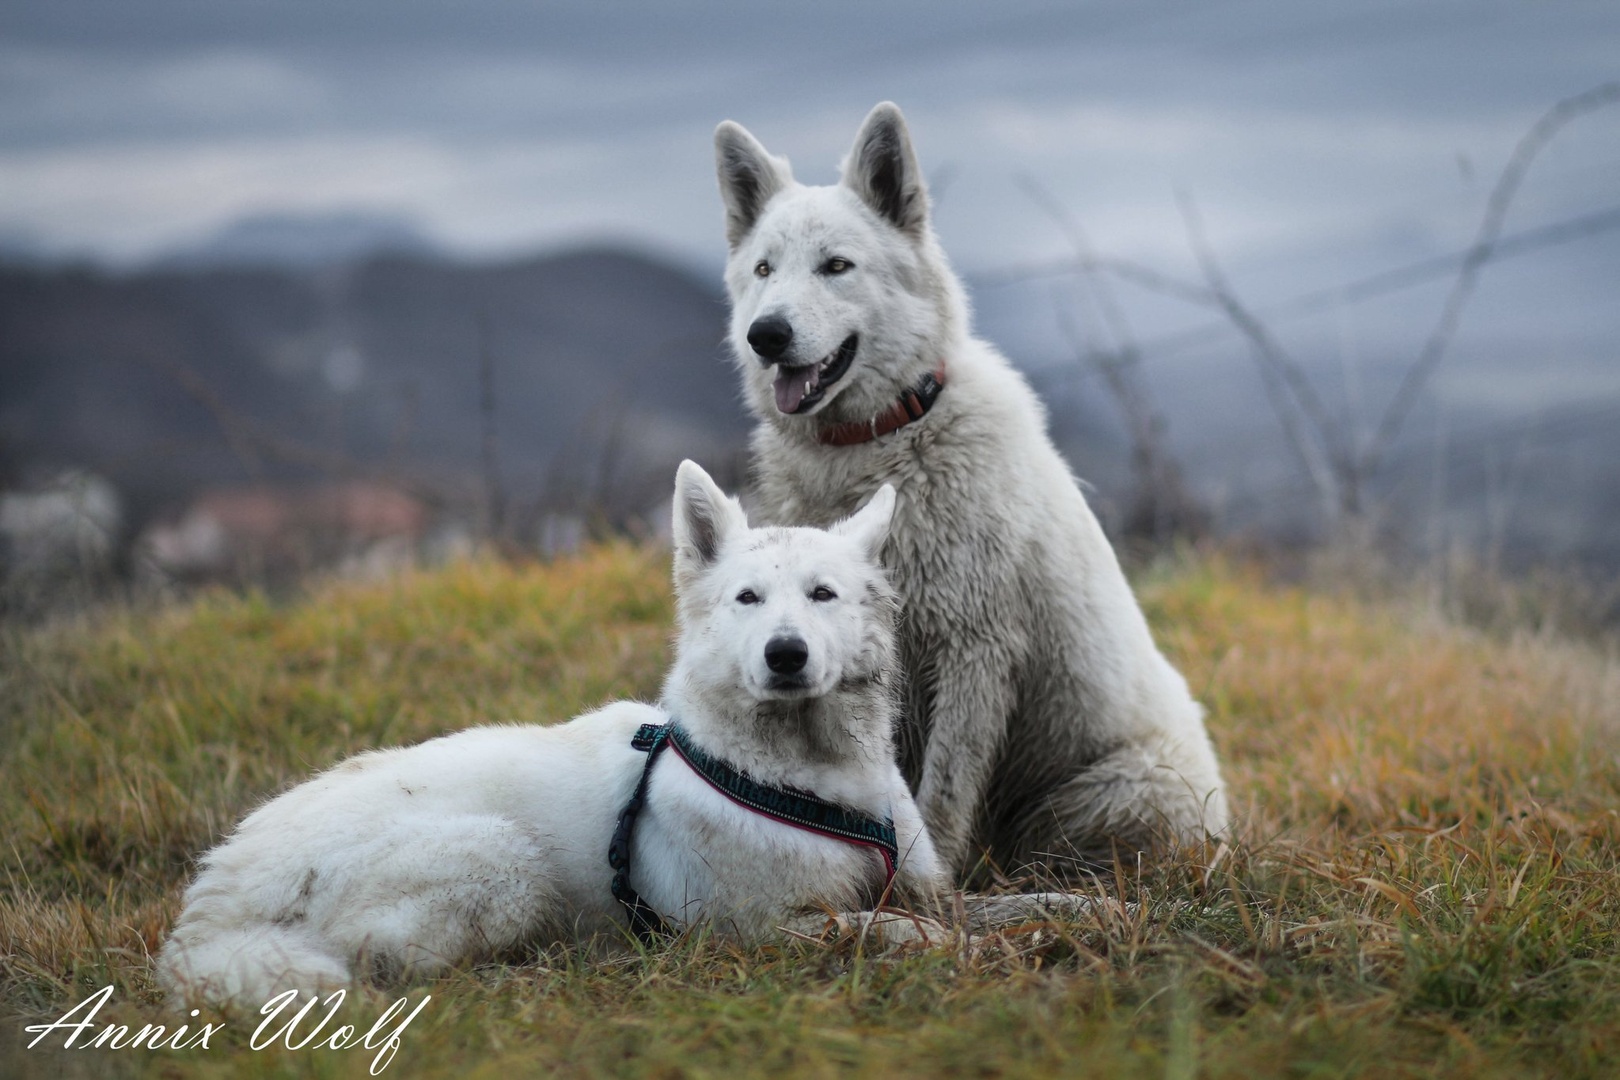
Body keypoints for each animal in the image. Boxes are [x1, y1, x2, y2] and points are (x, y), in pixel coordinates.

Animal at [158, 461, 943, 1005]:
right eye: (747, 599)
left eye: (822, 595)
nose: (786, 654)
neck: (804, 775)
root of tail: (218, 901)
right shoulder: (761, 928)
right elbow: (889, 928)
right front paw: (939, 945)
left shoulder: (917, 878)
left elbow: (930, 909)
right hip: (503, 859)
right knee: (387, 962)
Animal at [713, 102, 1229, 879]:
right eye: (764, 269)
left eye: (837, 266)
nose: (765, 334)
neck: (879, 446)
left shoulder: (974, 651)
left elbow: (943, 798)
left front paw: (935, 880)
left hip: (1100, 799)